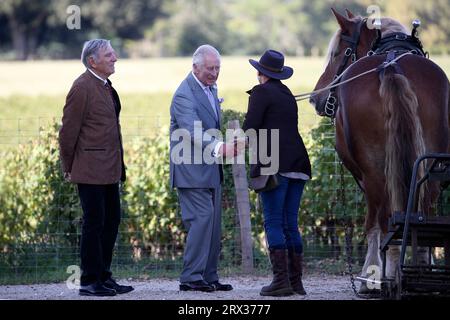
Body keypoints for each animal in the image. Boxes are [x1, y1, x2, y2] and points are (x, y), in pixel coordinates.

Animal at [310, 8, 450, 292]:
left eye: (338, 53)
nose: (315, 98)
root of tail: (391, 66)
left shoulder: (363, 175)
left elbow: (374, 223)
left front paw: (372, 273)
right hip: (429, 165)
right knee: (420, 213)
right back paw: (419, 271)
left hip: (375, 170)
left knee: (384, 217)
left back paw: (382, 274)